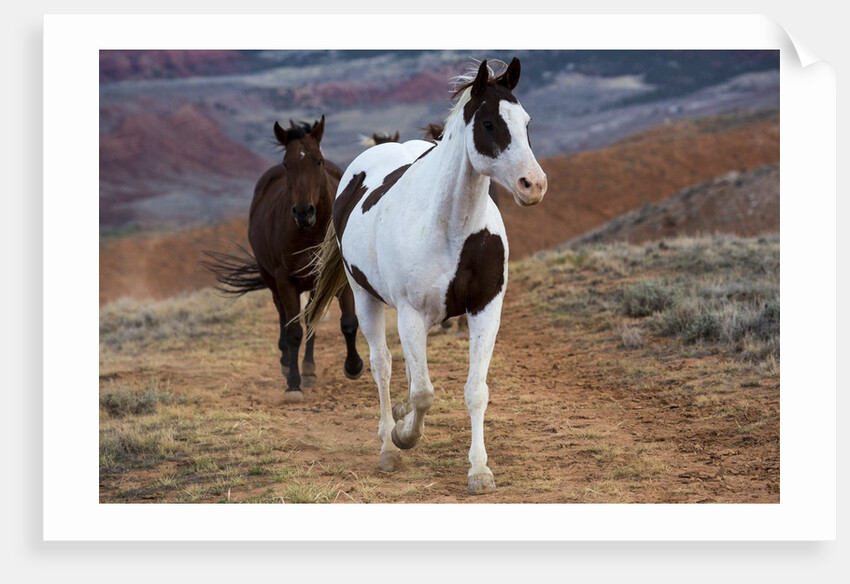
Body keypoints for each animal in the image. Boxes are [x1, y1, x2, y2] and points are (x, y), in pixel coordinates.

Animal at [203, 116, 364, 403]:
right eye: (287, 163)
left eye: (318, 161)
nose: (303, 212)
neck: (311, 231)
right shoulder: (285, 279)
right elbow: (293, 331)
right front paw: (293, 384)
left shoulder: (336, 276)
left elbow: (347, 322)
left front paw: (353, 366)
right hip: (272, 278)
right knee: (283, 316)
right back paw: (288, 364)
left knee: (311, 317)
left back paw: (309, 368)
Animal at [304, 58, 547, 494]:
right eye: (489, 123)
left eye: (526, 122)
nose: (533, 185)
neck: (451, 226)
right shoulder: (411, 314)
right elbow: (422, 393)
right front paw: (404, 436)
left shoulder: (486, 309)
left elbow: (475, 391)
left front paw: (479, 470)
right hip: (365, 298)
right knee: (382, 365)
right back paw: (388, 444)